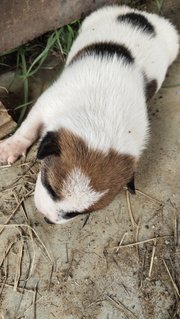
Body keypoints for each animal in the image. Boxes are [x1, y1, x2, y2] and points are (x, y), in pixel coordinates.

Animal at [0, 5, 179, 225]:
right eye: (50, 187)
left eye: (74, 213)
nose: (49, 219)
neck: (104, 120)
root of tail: (141, 14)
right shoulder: (47, 103)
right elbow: (27, 128)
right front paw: (12, 146)